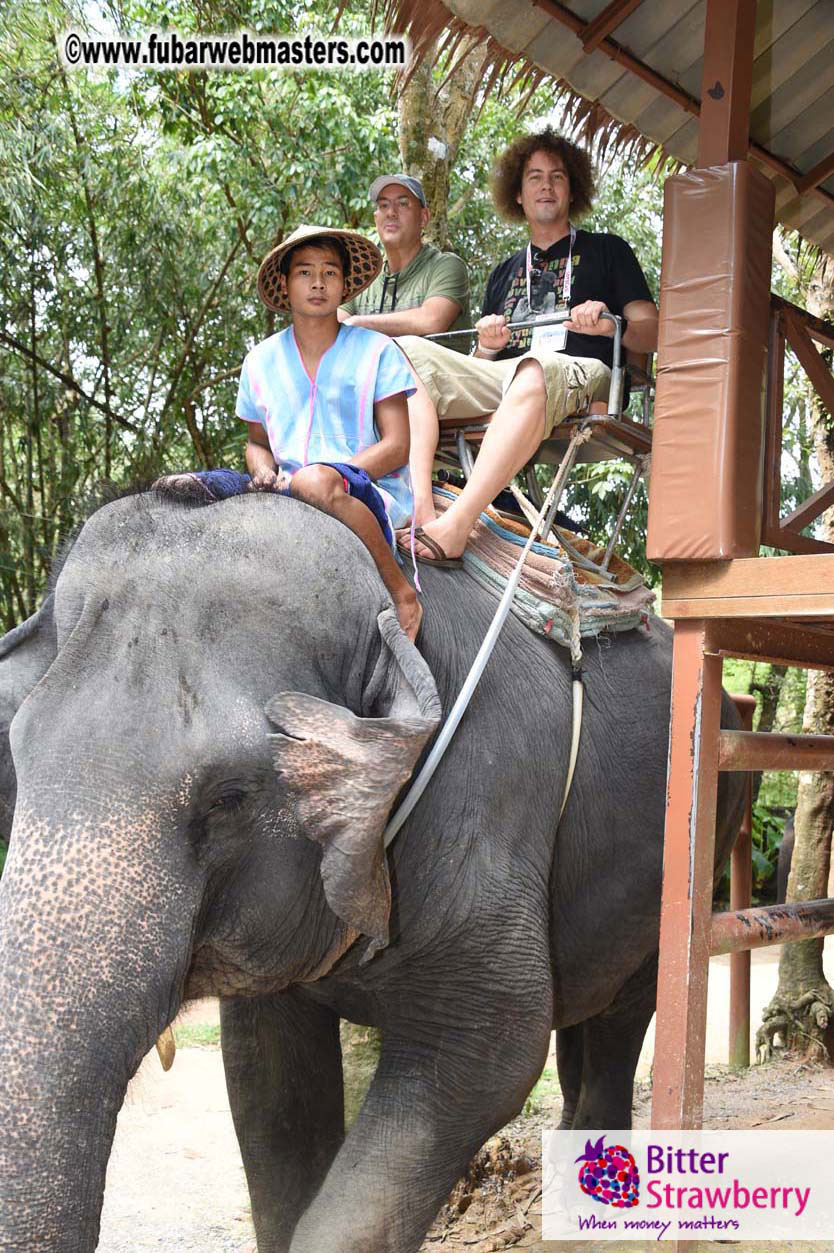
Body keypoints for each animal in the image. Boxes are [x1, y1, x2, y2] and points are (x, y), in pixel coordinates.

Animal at [0, 486, 745, 1253]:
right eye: (16, 755)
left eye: (230, 796)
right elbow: (267, 1085)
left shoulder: (481, 799)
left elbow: (495, 1048)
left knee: (628, 1005)